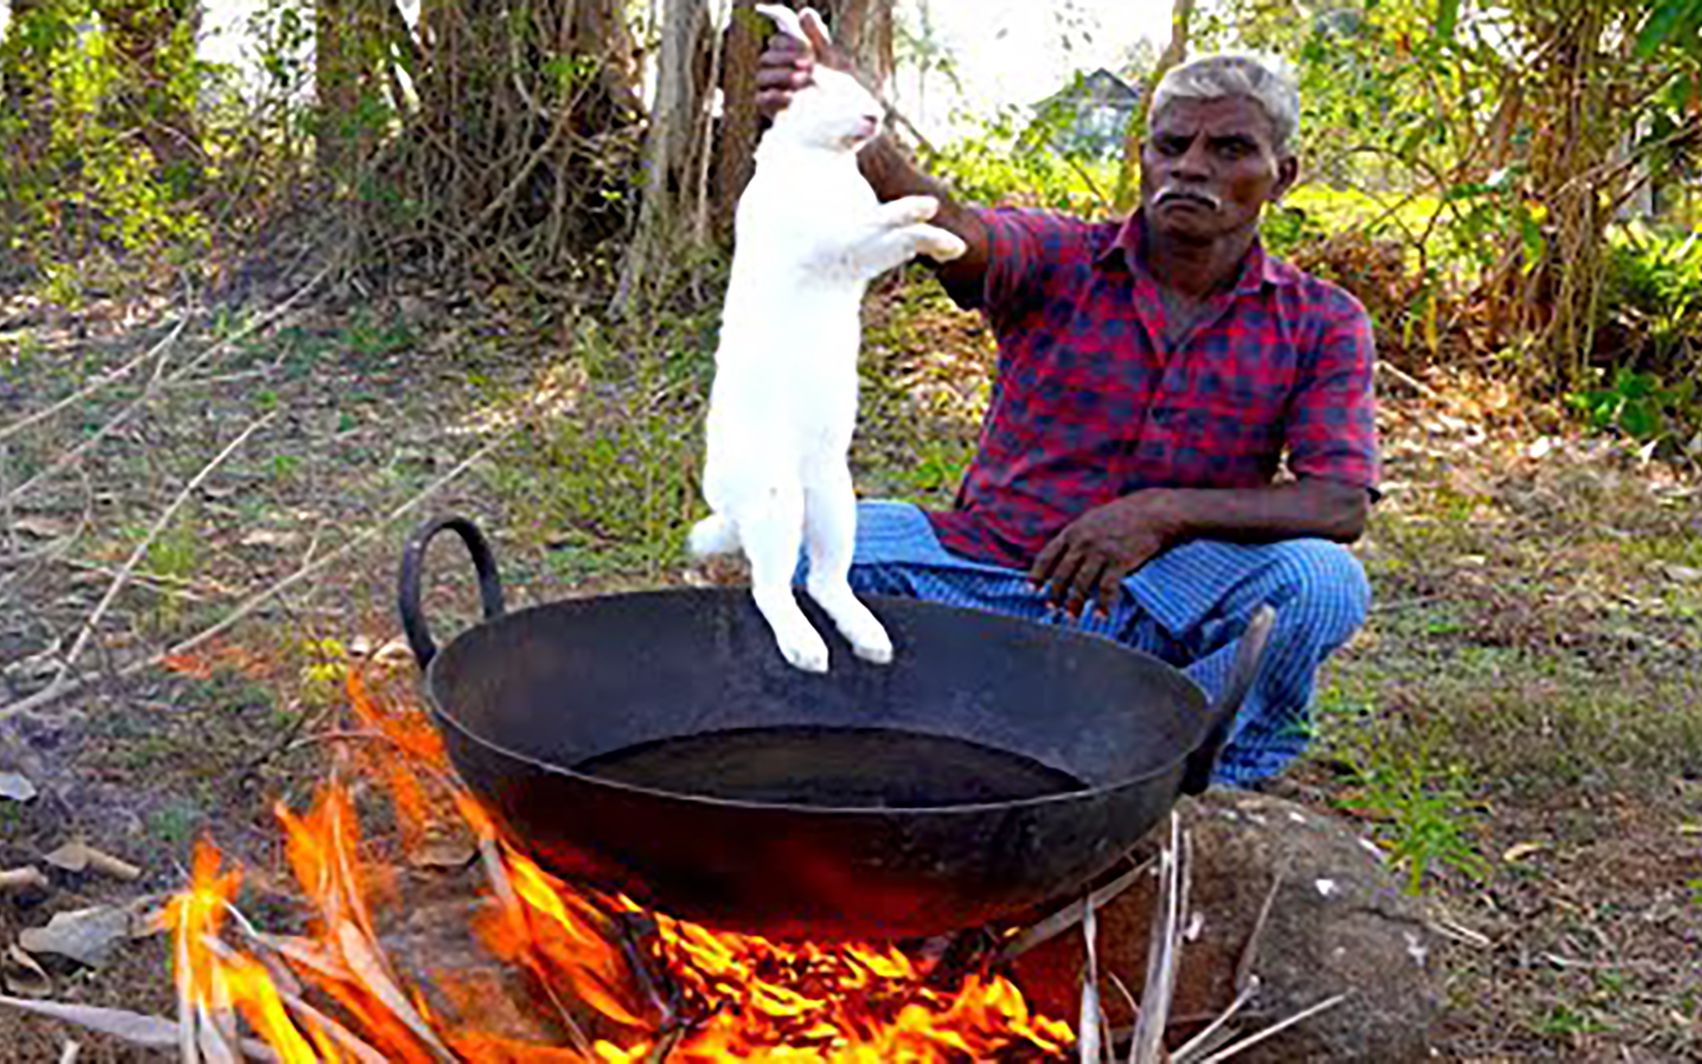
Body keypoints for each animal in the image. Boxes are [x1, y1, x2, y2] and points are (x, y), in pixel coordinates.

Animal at [684, 6, 966, 670]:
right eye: (815, 88)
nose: (872, 118)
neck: (819, 157)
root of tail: (731, 508)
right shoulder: (829, 238)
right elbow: (880, 219)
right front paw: (921, 203)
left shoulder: (859, 258)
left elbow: (903, 239)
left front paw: (950, 244)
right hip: (777, 501)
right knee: (770, 588)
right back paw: (806, 651)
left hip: (837, 504)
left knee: (825, 580)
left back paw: (870, 641)